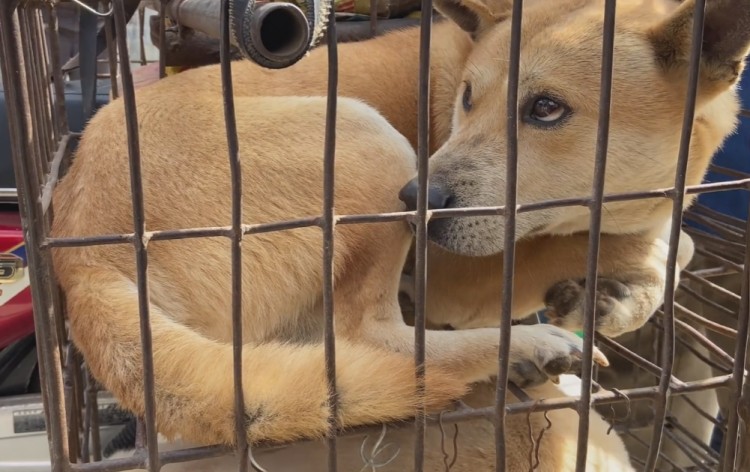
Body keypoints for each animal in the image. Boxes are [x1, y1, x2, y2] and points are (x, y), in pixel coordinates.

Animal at [51, 0, 750, 468]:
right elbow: (655, 240)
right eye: (466, 97)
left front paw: (620, 293)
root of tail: (82, 258)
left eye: (547, 109)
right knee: (366, 336)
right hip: (366, 138)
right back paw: (521, 348)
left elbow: (670, 240)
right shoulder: (461, 271)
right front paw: (629, 273)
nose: (417, 202)